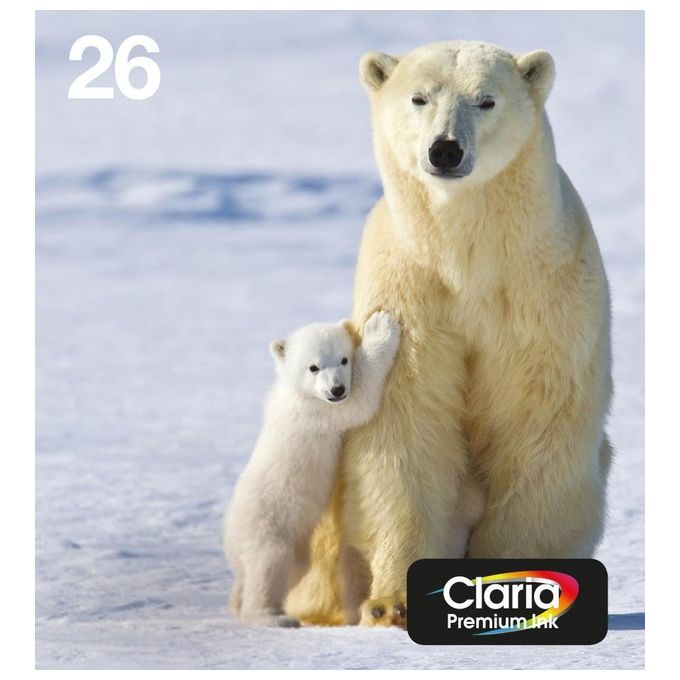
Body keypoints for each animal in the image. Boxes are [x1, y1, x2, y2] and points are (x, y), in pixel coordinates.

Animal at [224, 311, 400, 627]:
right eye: (313, 367)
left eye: (343, 359)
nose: (337, 389)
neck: (295, 392)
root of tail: (231, 542)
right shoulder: (317, 412)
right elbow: (359, 401)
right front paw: (379, 327)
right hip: (266, 526)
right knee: (268, 565)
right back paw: (274, 617)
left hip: (296, 547)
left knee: (290, 570)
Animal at [285, 40, 613, 627]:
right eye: (419, 97)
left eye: (486, 100)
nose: (445, 150)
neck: (468, 256)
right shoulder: (411, 292)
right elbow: (407, 426)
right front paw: (392, 603)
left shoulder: (542, 295)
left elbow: (536, 424)